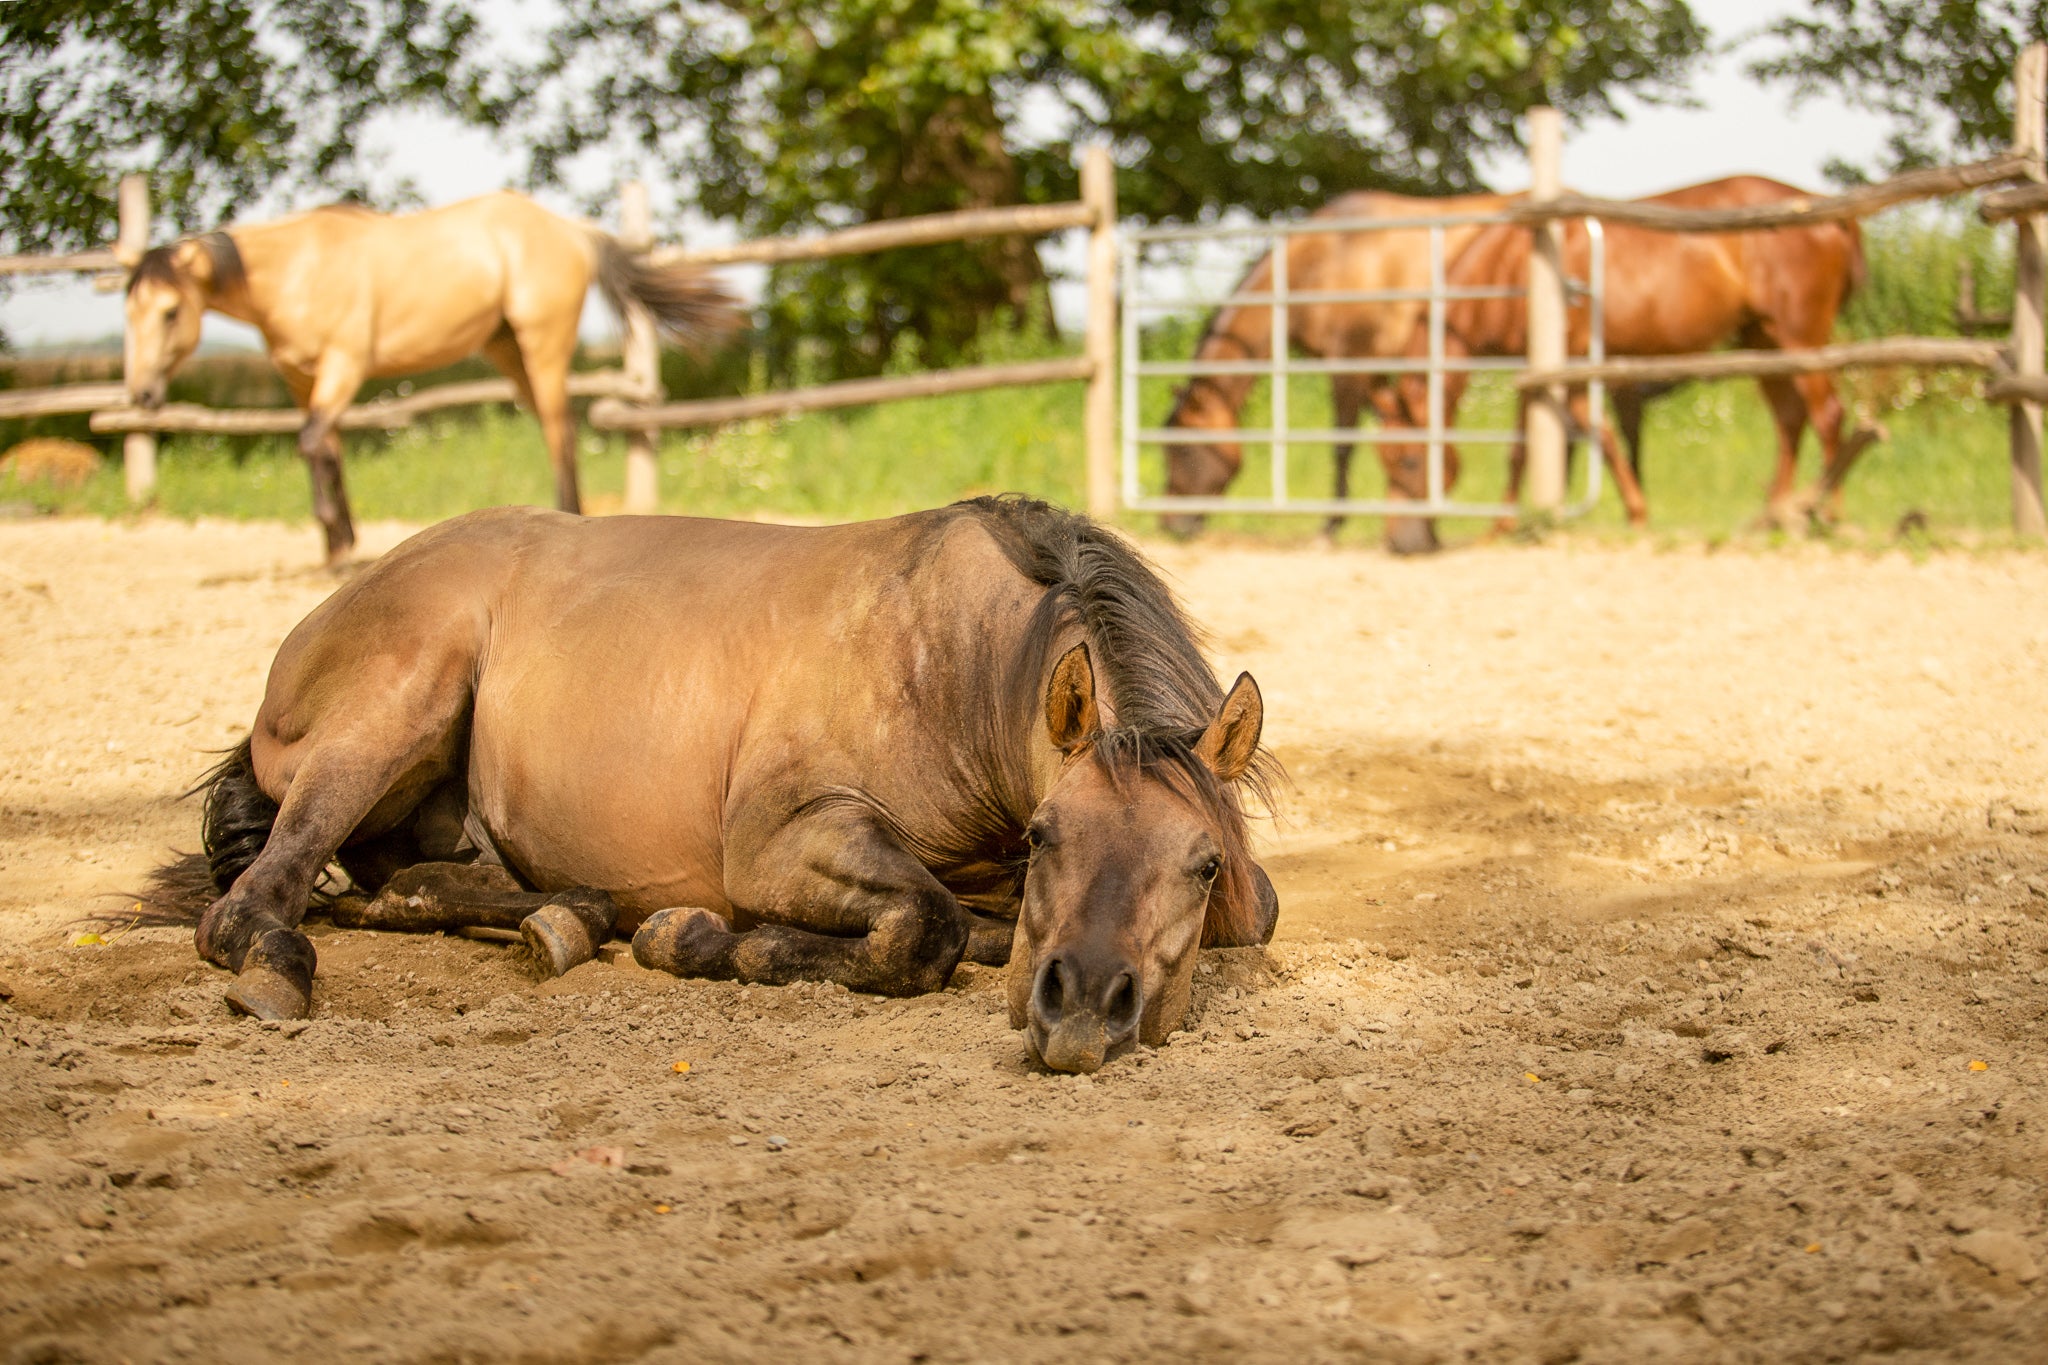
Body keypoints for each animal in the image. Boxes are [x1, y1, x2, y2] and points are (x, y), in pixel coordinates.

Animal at [123, 189, 733, 564]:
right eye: (128, 311)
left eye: (171, 312)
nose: (143, 394)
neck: (298, 271)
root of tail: (571, 230)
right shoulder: (301, 379)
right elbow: (326, 449)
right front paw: (339, 541)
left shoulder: (345, 365)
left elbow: (313, 442)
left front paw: (338, 543)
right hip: (507, 351)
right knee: (554, 428)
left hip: (543, 343)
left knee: (560, 429)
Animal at [155, 501, 1277, 1080]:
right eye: (1047, 835)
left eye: (1201, 864)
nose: (1081, 1005)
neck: (951, 657)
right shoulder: (777, 840)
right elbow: (925, 929)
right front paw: (710, 939)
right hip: (392, 714)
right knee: (256, 900)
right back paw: (275, 969)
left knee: (404, 886)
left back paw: (569, 921)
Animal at [1384, 170, 1875, 532]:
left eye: (1409, 461)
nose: (1401, 542)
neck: (1517, 261)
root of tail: (1828, 211)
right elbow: (1564, 444)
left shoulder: (1561, 363)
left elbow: (1564, 440)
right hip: (1762, 341)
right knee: (1790, 420)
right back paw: (1776, 512)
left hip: (1800, 337)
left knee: (1827, 416)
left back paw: (1829, 514)